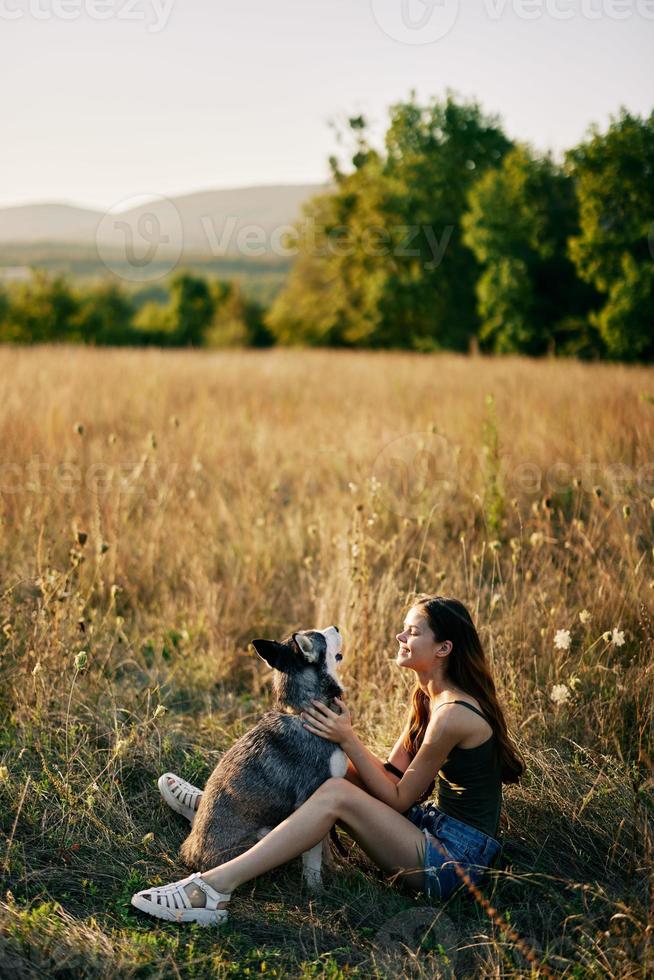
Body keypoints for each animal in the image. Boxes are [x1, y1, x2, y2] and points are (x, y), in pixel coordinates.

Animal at [177, 628, 346, 888]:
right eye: (322, 636)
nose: (336, 627)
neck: (304, 711)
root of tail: (192, 857)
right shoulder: (312, 798)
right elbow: (315, 854)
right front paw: (315, 886)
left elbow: (325, 847)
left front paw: (332, 870)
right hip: (264, 834)